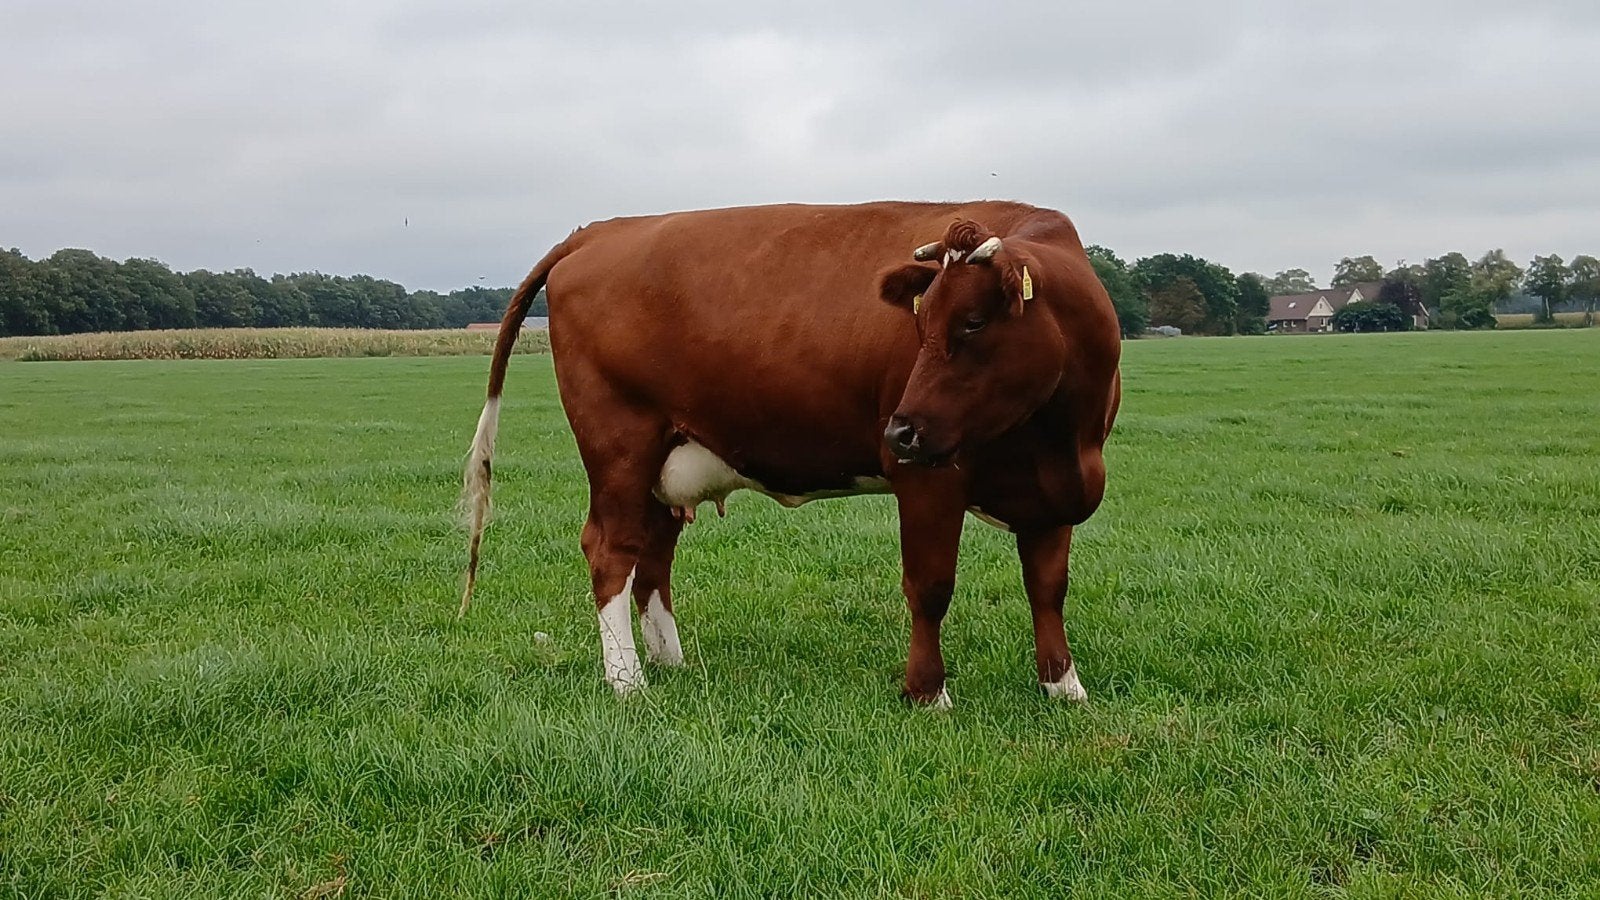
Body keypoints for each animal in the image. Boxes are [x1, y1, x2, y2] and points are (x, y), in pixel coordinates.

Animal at [461, 201, 1121, 707]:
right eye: (921, 324)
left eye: (975, 323)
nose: (900, 432)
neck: (1060, 441)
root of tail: (599, 230)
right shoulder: (928, 480)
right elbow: (931, 585)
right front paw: (928, 693)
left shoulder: (1054, 493)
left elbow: (1048, 586)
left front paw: (1064, 687)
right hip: (619, 445)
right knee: (610, 549)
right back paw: (628, 682)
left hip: (668, 459)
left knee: (653, 555)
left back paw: (671, 662)